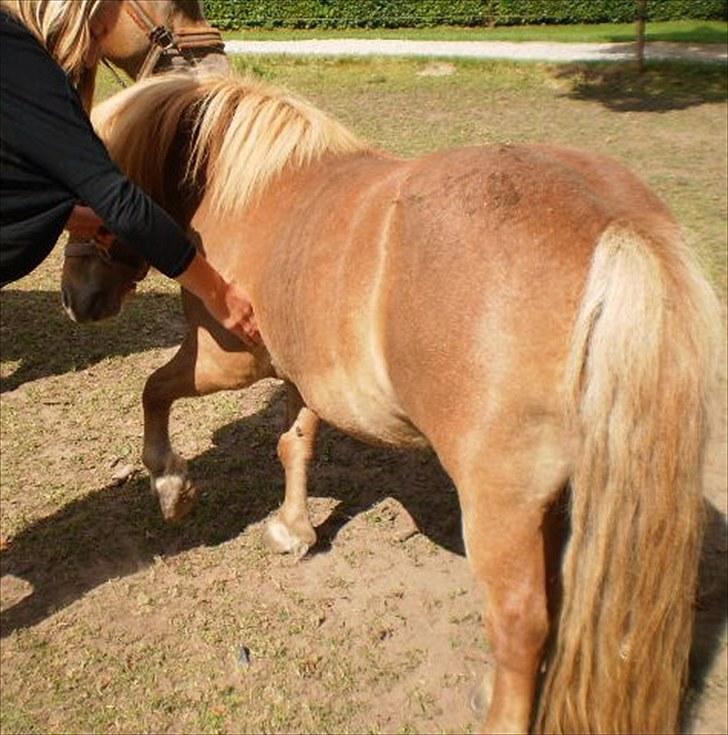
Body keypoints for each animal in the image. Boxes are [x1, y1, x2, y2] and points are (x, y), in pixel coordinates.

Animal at [59, 71, 720, 733]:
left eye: (83, 209)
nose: (75, 300)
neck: (244, 187)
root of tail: (616, 226)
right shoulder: (306, 372)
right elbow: (294, 443)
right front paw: (293, 528)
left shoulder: (228, 361)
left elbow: (154, 390)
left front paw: (171, 485)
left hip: (499, 502)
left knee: (519, 621)